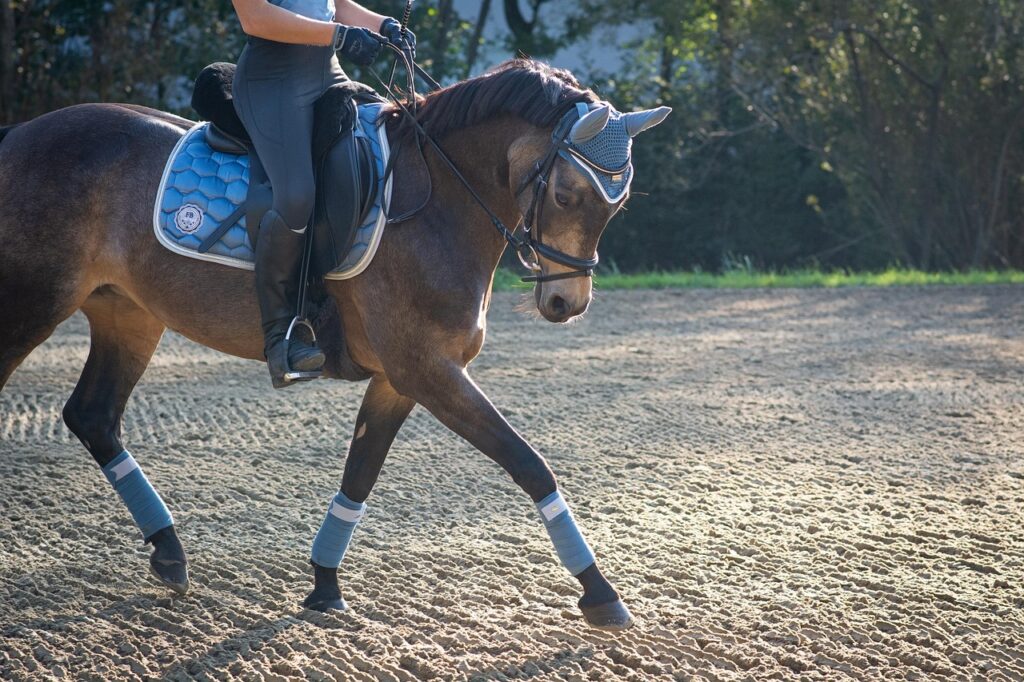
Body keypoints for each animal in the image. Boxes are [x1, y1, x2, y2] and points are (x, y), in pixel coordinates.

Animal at [0, 58, 669, 630]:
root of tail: (21, 134)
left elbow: (360, 472)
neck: (437, 204)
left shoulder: (401, 378)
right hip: (33, 301)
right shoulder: (429, 369)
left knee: (93, 415)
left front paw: (324, 585)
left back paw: (169, 554)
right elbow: (528, 463)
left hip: (128, 313)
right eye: (566, 195)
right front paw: (601, 594)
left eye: (618, 205)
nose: (567, 304)